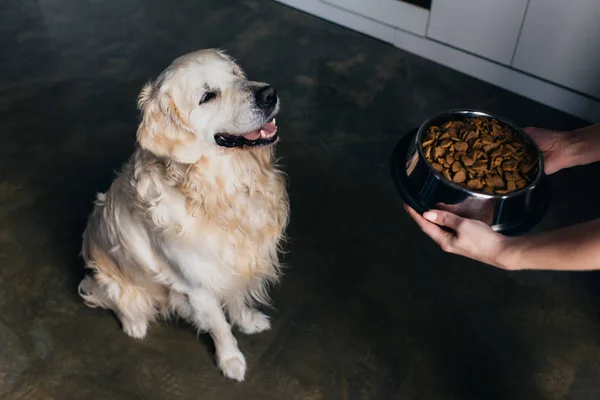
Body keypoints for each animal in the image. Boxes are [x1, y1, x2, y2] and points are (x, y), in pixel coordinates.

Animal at [78, 49, 290, 382]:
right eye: (207, 96)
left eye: (235, 74)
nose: (270, 93)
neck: (218, 189)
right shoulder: (198, 288)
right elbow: (220, 327)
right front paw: (231, 360)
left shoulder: (233, 264)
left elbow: (237, 299)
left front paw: (247, 321)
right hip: (110, 282)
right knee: (121, 304)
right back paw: (135, 325)